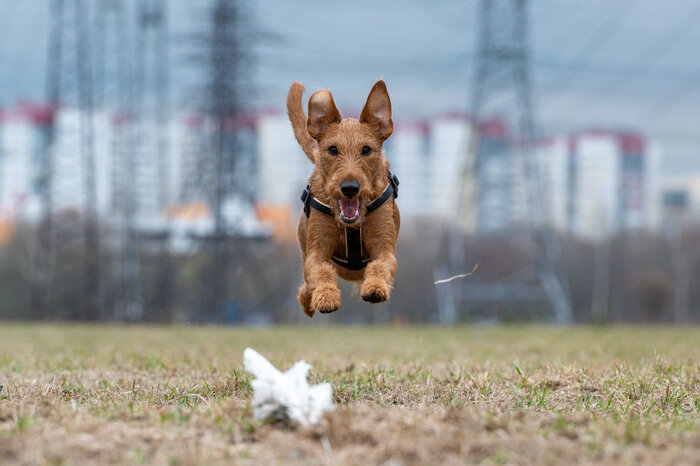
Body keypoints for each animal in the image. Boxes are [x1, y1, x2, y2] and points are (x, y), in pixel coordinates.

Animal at [286, 82, 400, 316]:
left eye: (366, 150)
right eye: (332, 149)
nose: (349, 188)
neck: (351, 225)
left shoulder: (384, 246)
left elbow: (380, 266)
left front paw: (375, 288)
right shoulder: (317, 249)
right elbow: (321, 271)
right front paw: (326, 297)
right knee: (306, 287)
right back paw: (307, 301)